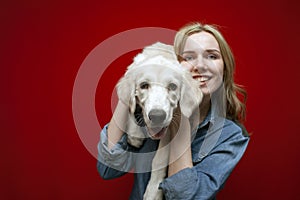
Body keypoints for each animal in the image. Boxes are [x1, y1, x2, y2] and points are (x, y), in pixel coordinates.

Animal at [116, 42, 203, 200]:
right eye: (144, 85)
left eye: (173, 86)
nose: (157, 116)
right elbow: (129, 106)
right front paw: (134, 135)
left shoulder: (169, 128)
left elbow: (159, 159)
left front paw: (153, 192)